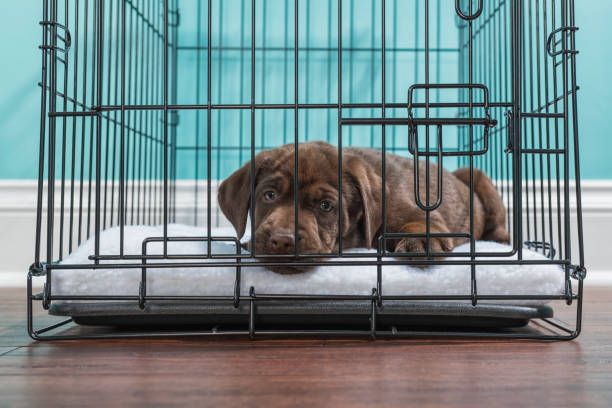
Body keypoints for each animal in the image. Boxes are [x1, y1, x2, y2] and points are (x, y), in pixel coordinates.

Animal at [218, 142, 510, 272]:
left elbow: (420, 223)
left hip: (477, 176)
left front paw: (420, 242)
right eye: (269, 195)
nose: (281, 241)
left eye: (326, 206)